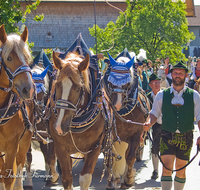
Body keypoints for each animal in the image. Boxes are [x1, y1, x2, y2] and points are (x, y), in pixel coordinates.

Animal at [48, 51, 108, 190]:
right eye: (56, 85)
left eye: (78, 88)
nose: (59, 127)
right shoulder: (61, 147)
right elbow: (67, 179)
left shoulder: (95, 147)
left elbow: (85, 178)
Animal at [103, 54, 150, 189]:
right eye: (109, 82)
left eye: (128, 83)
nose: (117, 105)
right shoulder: (108, 135)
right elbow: (109, 158)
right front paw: (111, 181)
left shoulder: (136, 135)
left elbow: (130, 158)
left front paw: (128, 180)